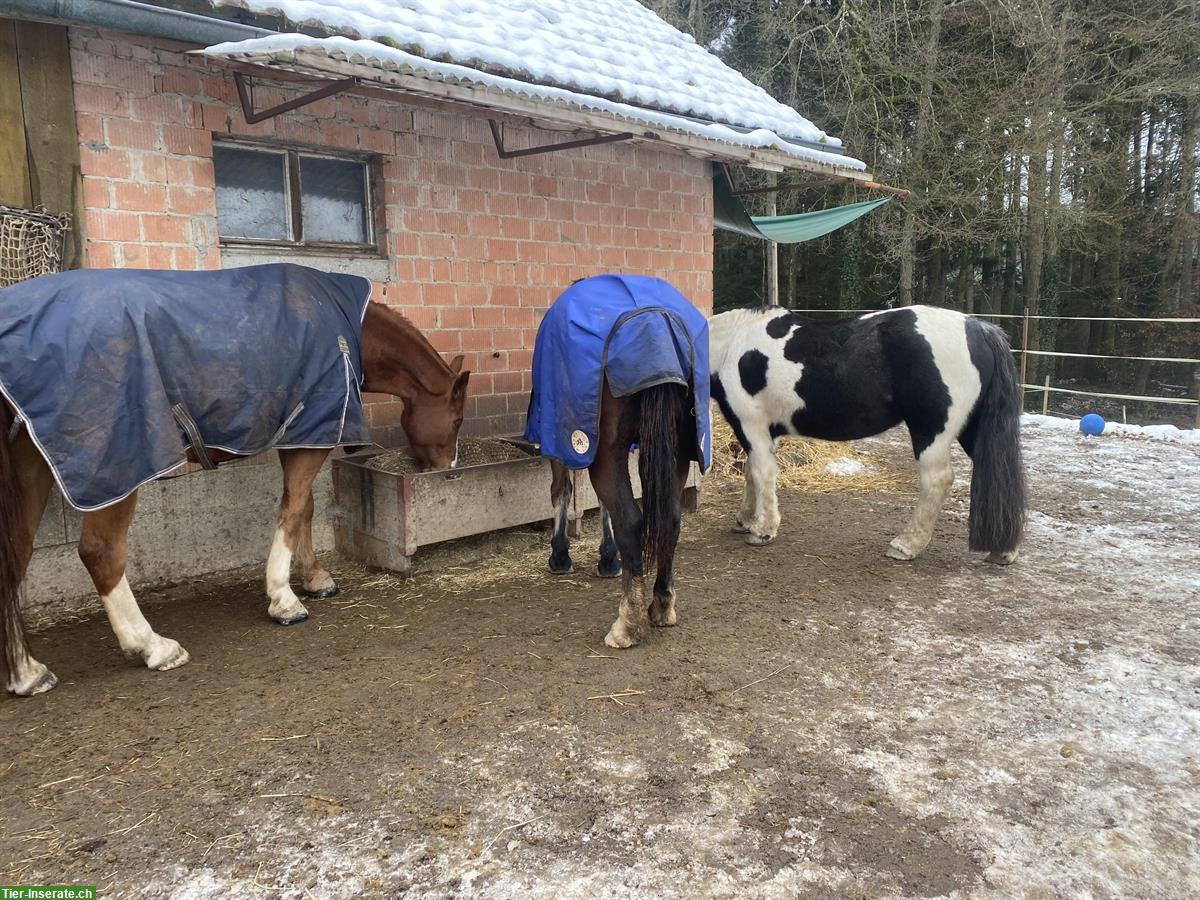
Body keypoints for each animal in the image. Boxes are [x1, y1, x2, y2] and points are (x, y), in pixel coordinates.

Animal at [1, 264, 468, 696]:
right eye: (457, 420)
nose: (448, 468)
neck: (342, 323)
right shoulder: (310, 437)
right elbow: (293, 511)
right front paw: (283, 598)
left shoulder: (298, 435)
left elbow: (304, 509)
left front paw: (315, 578)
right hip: (116, 467)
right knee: (101, 552)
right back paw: (152, 646)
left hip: (31, 464)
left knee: (15, 556)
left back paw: (26, 672)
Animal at [520, 274, 705, 648]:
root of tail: (657, 326)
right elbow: (603, 505)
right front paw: (609, 558)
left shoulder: (565, 446)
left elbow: (561, 492)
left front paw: (560, 555)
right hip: (676, 450)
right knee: (671, 519)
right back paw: (661, 606)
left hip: (606, 452)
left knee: (631, 521)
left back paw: (627, 625)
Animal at [705, 307, 1027, 566]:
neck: (732, 347)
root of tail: (978, 329)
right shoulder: (760, 434)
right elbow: (751, 474)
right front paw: (746, 519)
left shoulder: (753, 427)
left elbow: (762, 475)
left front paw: (763, 530)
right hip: (975, 430)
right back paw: (1004, 551)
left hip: (930, 432)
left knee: (936, 481)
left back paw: (905, 546)